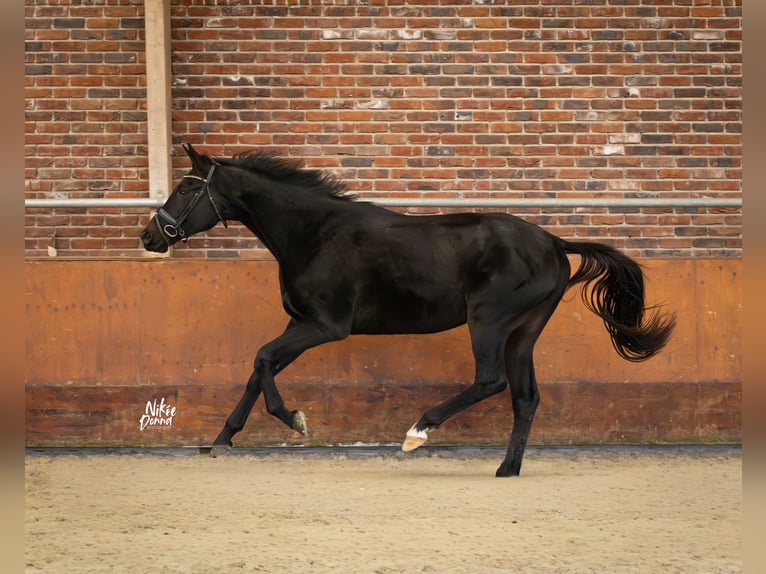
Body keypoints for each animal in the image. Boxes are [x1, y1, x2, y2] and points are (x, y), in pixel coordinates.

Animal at [140, 143, 675, 477]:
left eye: (186, 188)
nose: (150, 236)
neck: (315, 233)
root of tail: (554, 243)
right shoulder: (301, 322)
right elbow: (259, 366)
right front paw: (223, 438)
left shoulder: (325, 325)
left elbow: (264, 360)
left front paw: (294, 420)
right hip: (524, 331)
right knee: (525, 397)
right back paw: (506, 469)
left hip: (490, 321)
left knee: (491, 381)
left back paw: (417, 433)